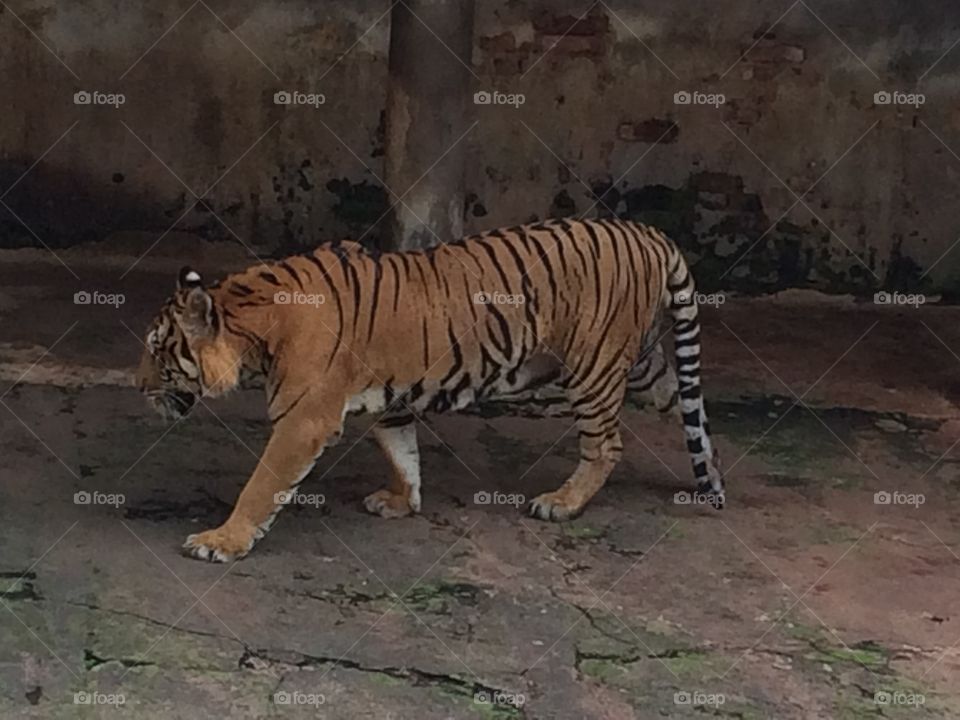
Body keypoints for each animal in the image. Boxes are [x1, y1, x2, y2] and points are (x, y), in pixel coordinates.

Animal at [135, 218, 724, 562]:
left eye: (158, 352)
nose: (136, 385)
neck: (253, 325)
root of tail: (651, 233)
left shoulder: (303, 420)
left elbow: (261, 486)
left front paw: (222, 541)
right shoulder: (391, 399)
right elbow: (403, 454)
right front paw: (402, 502)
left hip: (592, 365)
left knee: (606, 445)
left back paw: (562, 503)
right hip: (640, 364)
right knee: (686, 404)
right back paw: (712, 482)